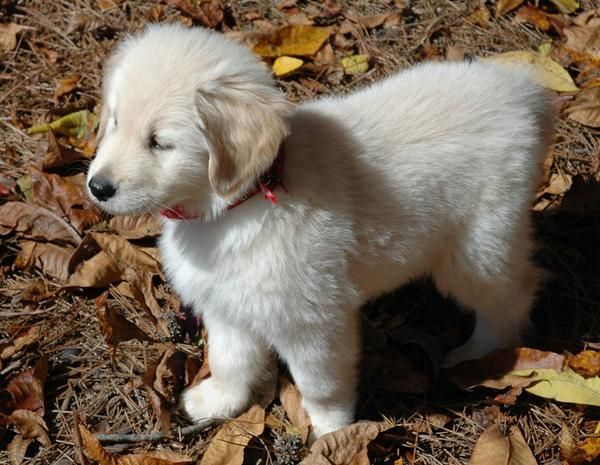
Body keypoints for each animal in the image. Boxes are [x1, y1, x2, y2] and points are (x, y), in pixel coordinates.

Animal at [86, 24, 556, 438]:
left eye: (160, 143)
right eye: (114, 121)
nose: (97, 187)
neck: (245, 200)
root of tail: (520, 92)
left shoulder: (313, 323)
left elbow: (320, 384)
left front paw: (332, 432)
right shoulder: (227, 307)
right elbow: (229, 362)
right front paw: (217, 402)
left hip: (475, 250)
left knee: (513, 297)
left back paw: (478, 357)